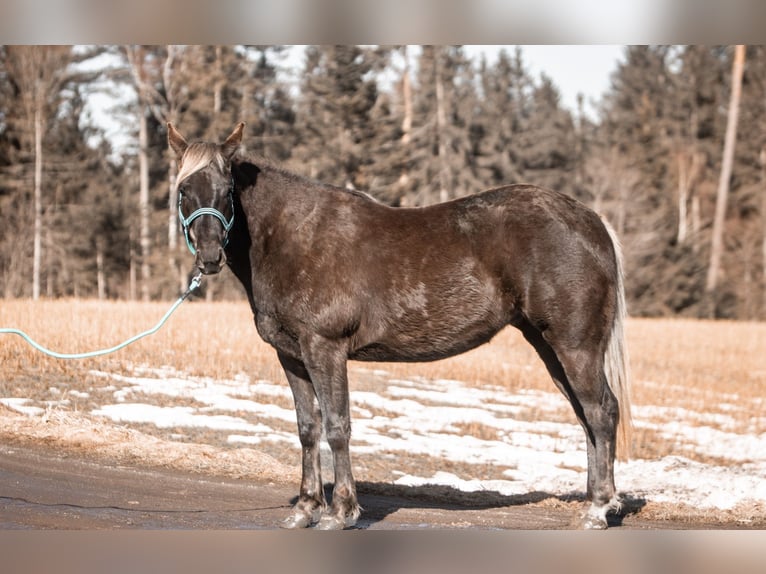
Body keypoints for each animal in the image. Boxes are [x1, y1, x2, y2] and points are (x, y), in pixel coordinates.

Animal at [167, 122, 632, 530]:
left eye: (227, 190)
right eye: (184, 190)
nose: (209, 256)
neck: (294, 236)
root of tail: (591, 220)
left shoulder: (325, 349)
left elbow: (337, 427)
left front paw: (341, 512)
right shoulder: (291, 355)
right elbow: (308, 428)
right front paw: (305, 508)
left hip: (575, 346)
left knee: (601, 411)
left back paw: (598, 509)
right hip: (549, 347)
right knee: (585, 416)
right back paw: (595, 503)